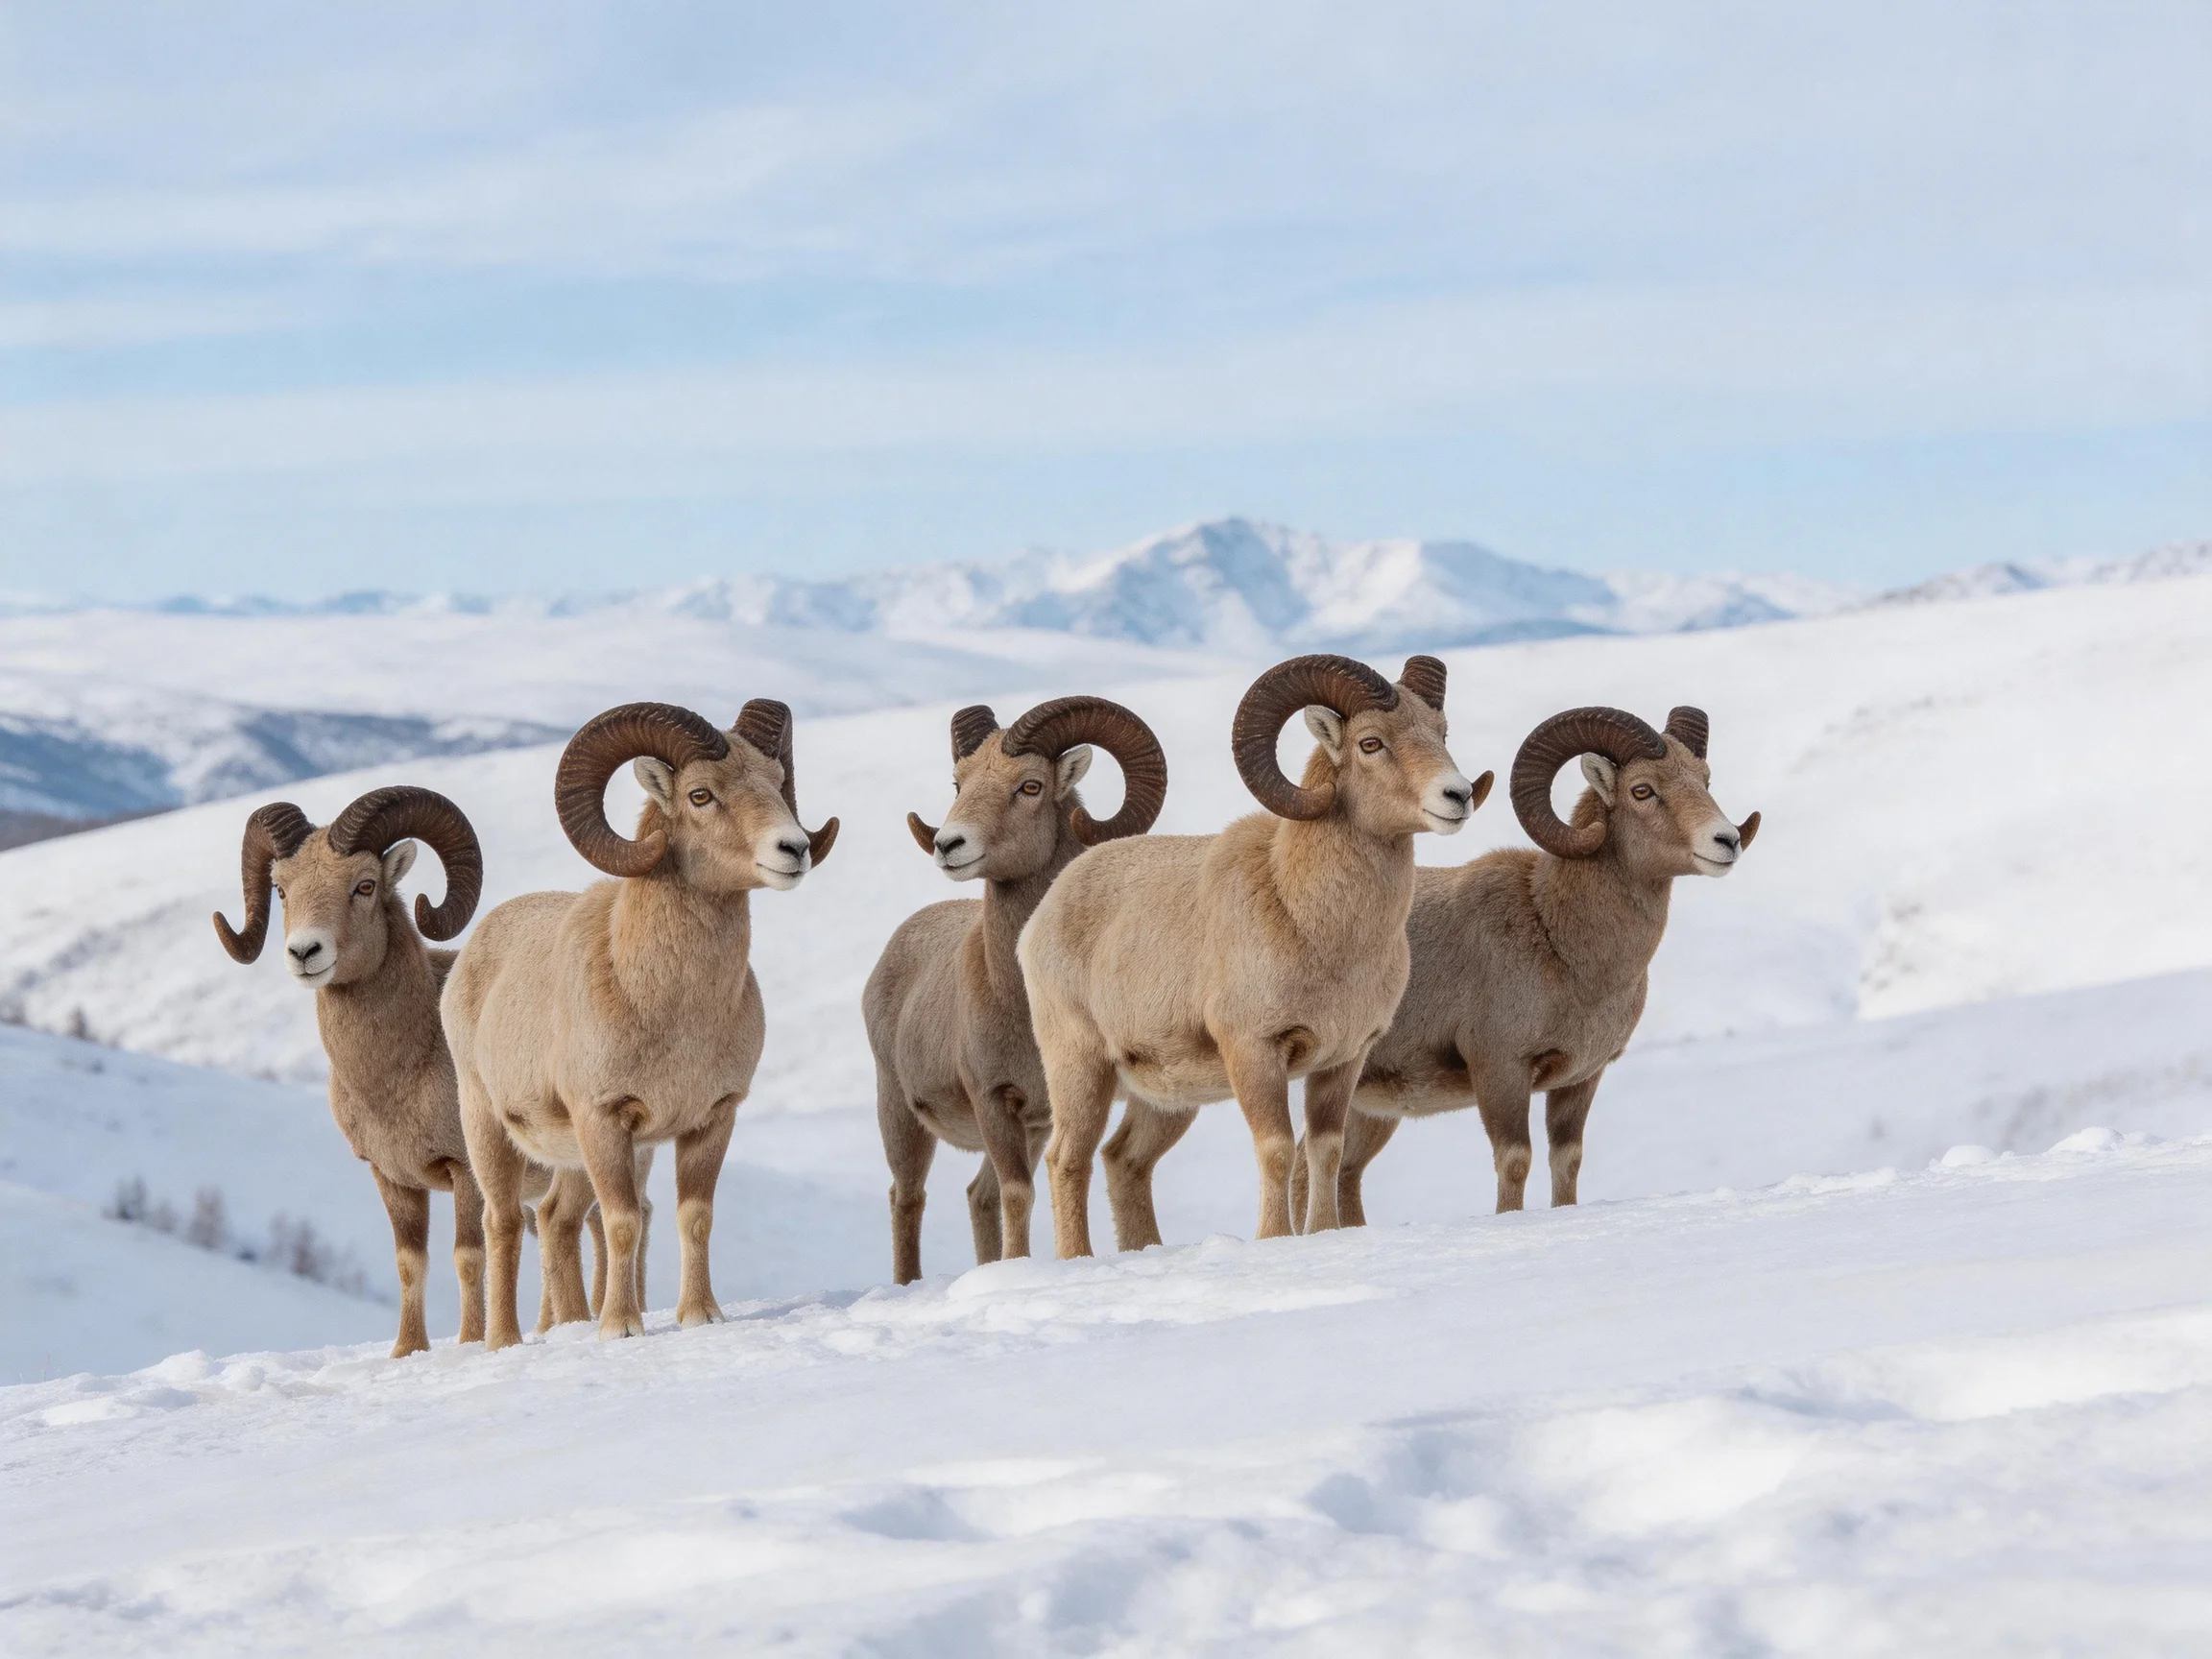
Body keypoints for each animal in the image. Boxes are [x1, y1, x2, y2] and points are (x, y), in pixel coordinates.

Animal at [213, 785, 491, 1358]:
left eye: (364, 885)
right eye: (280, 890)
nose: (304, 952)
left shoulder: (465, 1170)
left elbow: (469, 1257)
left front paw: (473, 1343)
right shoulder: (392, 1178)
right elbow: (411, 1264)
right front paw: (407, 1352)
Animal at [442, 698, 836, 1347]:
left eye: (777, 782)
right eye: (701, 795)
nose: (794, 849)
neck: (673, 1010)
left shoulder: (711, 1120)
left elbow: (694, 1216)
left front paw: (700, 1315)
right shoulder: (604, 1119)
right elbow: (623, 1221)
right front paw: (621, 1329)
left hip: (571, 1158)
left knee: (557, 1220)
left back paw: (572, 1325)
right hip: (488, 1130)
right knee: (503, 1223)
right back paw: (506, 1342)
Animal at [864, 696, 1167, 1283]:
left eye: (1030, 786)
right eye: (958, 783)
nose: (949, 845)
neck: (1016, 998)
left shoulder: (1039, 1114)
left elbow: (1008, 1194)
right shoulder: (992, 1100)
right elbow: (1017, 1194)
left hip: (1024, 1129)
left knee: (975, 1194)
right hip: (900, 1115)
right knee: (906, 1198)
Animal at [1017, 654, 1490, 1254]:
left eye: (1440, 733)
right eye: (1371, 743)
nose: (1457, 796)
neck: (1314, 924)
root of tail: (1045, 912)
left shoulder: (1343, 1060)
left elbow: (1325, 1150)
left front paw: (1324, 1233)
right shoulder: (1254, 1050)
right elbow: (1278, 1149)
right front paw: (1274, 1240)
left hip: (1167, 1099)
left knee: (1123, 1159)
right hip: (1079, 1066)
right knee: (1066, 1160)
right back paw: (1077, 1259)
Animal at [1292, 704, 1761, 1224]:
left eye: (1704, 779)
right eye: (1643, 790)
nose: (1726, 841)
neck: (1561, 942)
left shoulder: (1581, 1080)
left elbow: (1567, 1160)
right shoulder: (1502, 1070)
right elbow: (1515, 1161)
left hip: (1368, 1105)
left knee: (1337, 1171)